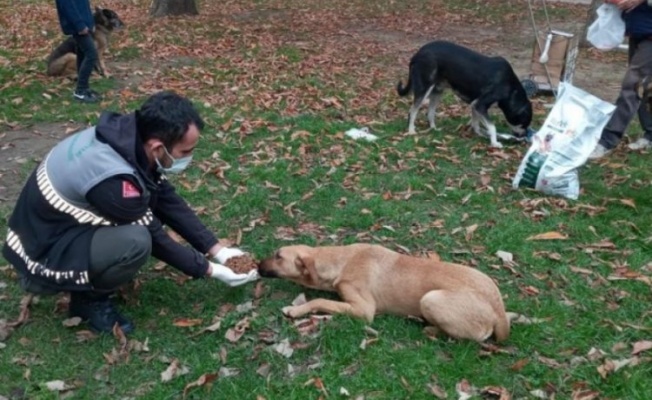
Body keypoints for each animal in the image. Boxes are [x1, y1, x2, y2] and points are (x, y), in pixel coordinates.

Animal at [258, 242, 510, 342]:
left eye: (278, 256)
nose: (257, 265)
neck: (341, 261)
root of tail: (499, 312)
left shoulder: (364, 310)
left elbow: (320, 299)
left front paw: (295, 309)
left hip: (430, 299)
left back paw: (429, 328)